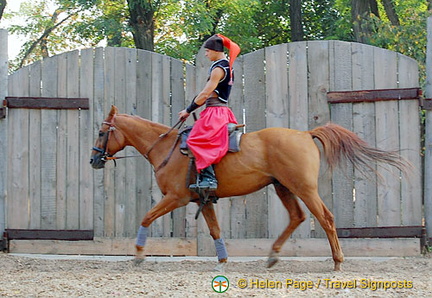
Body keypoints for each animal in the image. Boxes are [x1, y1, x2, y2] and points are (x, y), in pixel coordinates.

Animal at [91, 105, 408, 272]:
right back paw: (273, 255)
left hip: (304, 188)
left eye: (102, 131)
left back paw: (338, 261)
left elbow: (145, 217)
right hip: (283, 188)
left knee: (325, 218)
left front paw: (138, 254)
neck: (167, 148)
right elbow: (215, 230)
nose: (94, 159)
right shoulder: (202, 201)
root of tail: (306, 134)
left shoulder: (176, 198)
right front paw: (222, 259)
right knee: (297, 217)